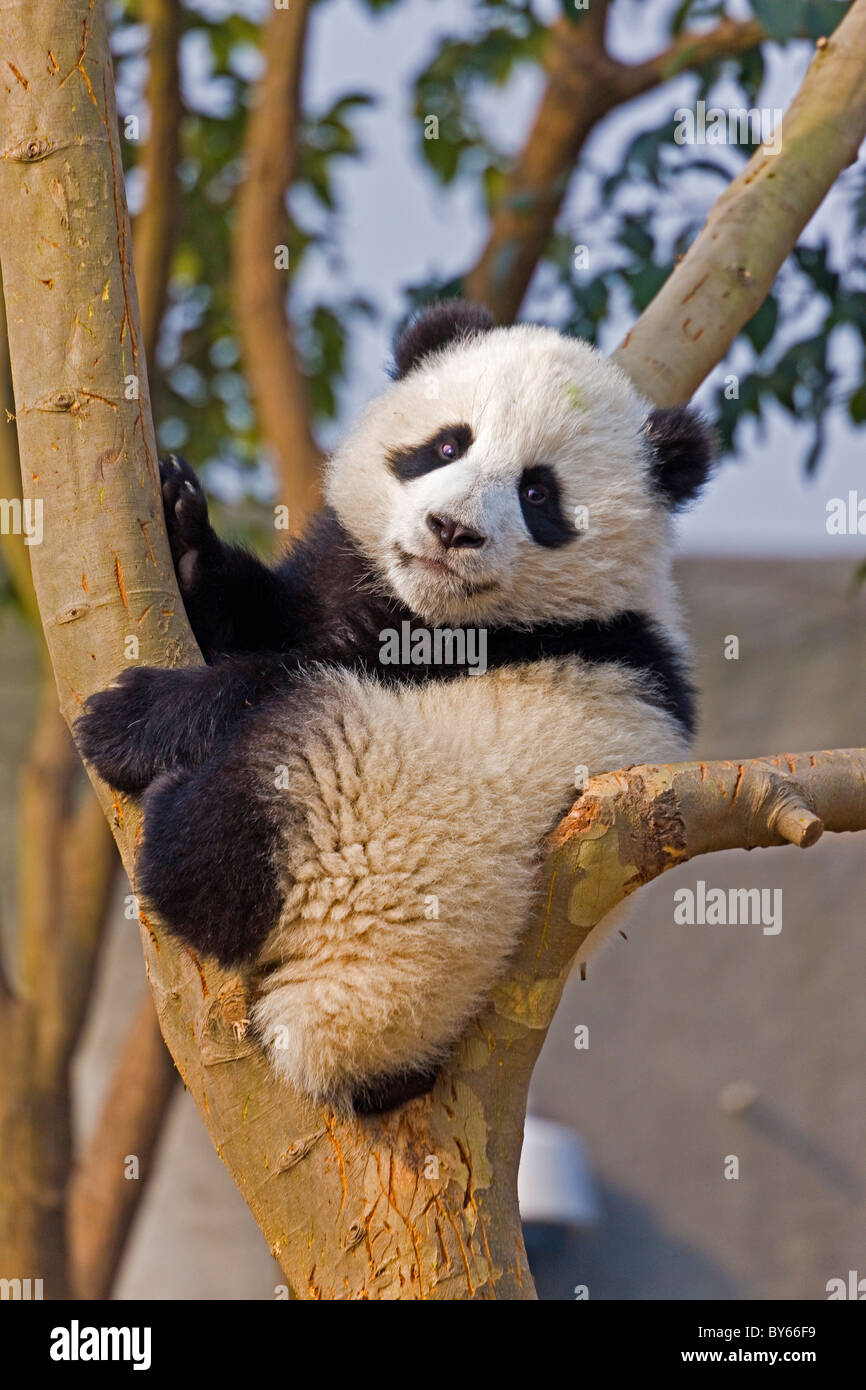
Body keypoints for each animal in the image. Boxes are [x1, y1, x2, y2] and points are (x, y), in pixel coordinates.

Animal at [77, 300, 714, 1115]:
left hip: (369, 843)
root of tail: (351, 1060)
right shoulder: (345, 573)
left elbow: (283, 670)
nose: (451, 530)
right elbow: (278, 615)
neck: (431, 608)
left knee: (273, 769)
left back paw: (175, 831)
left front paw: (129, 719)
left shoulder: (524, 649)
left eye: (539, 494)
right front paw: (184, 529)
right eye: (446, 444)